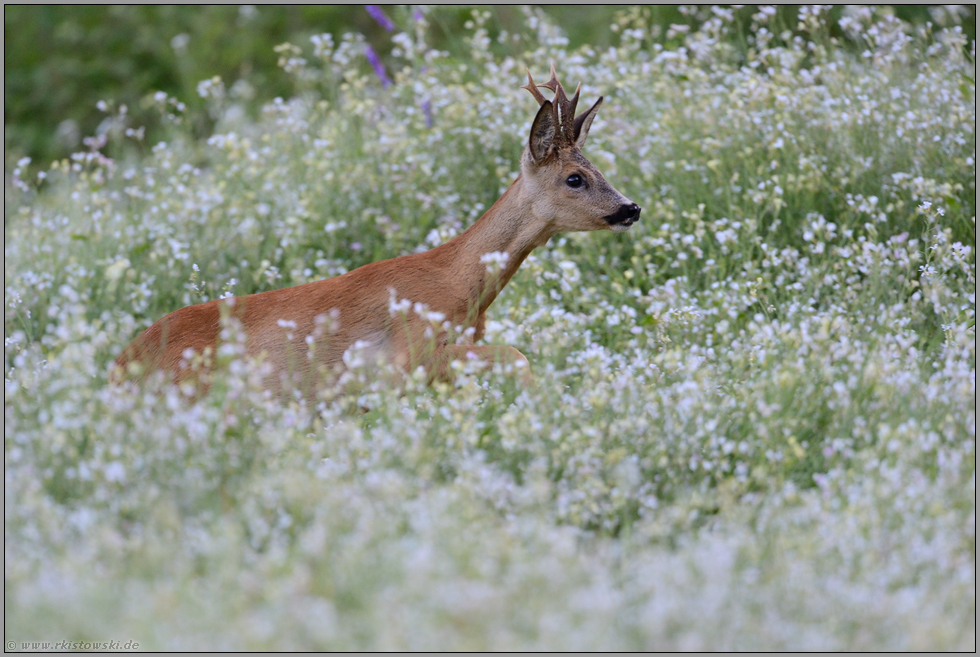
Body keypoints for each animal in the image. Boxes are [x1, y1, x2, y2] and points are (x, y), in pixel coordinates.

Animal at [113, 65, 641, 398]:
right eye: (575, 178)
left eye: (597, 167)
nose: (630, 208)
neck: (461, 287)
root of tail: (119, 368)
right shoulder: (407, 356)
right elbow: (517, 355)